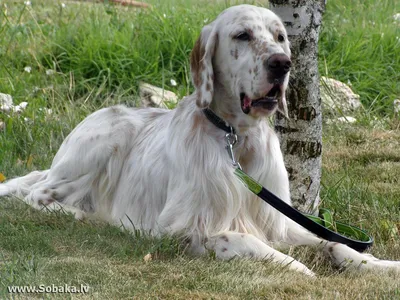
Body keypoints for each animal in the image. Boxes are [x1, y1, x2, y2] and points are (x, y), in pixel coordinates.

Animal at [0, 5, 400, 276]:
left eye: (280, 36)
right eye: (243, 35)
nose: (282, 63)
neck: (237, 138)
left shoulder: (279, 222)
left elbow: (334, 242)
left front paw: (380, 265)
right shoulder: (183, 229)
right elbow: (241, 239)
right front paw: (295, 266)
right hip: (106, 140)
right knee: (39, 195)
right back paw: (90, 215)